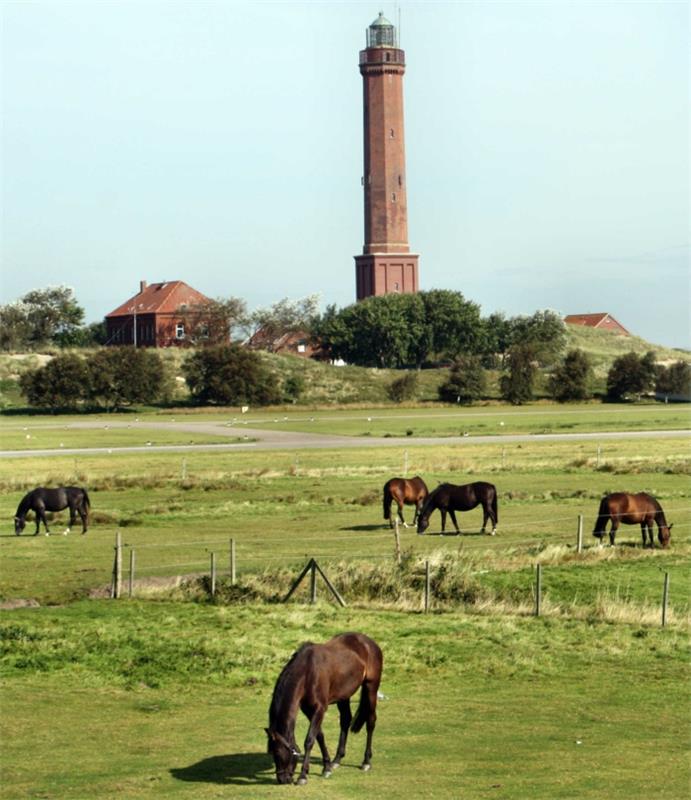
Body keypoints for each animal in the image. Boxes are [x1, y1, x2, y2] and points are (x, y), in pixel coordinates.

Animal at [266, 636, 384, 784]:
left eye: (277, 753)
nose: (282, 779)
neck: (307, 672)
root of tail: (369, 642)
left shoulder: (319, 708)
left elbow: (309, 740)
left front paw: (303, 775)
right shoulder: (308, 710)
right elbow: (319, 736)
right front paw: (327, 766)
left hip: (371, 688)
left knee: (371, 721)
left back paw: (366, 761)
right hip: (343, 696)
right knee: (345, 721)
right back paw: (337, 759)